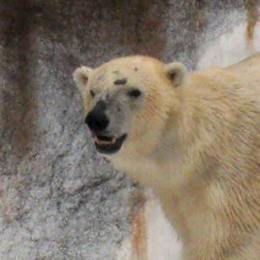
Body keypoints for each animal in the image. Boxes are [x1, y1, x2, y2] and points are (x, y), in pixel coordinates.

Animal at [73, 53, 260, 258]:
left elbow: (229, 244)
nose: (96, 119)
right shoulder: (177, 195)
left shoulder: (232, 181)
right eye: (92, 91)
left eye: (134, 91)